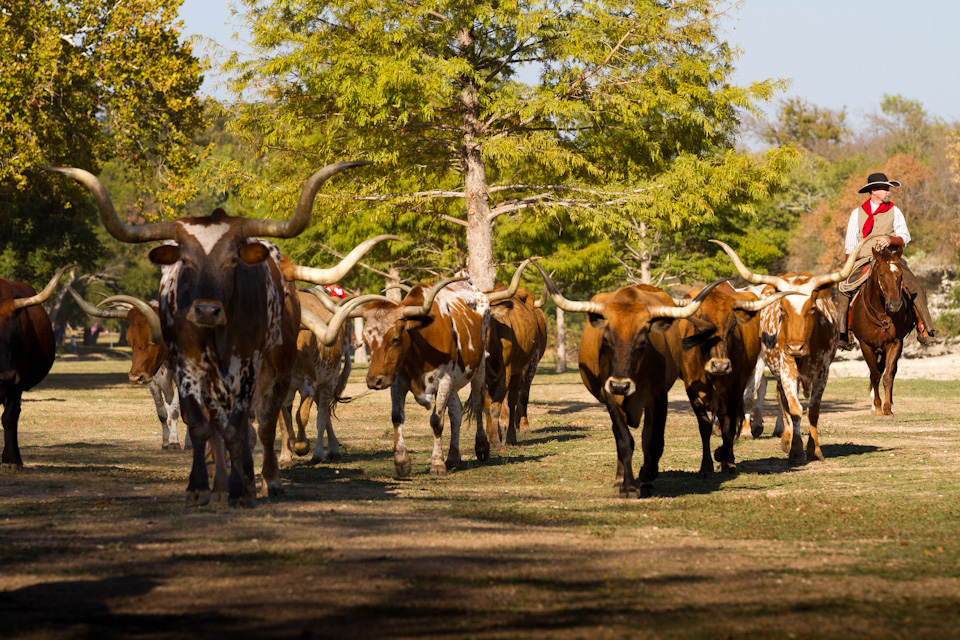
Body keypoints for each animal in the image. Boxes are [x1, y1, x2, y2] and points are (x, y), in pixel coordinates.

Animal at [67, 288, 188, 450]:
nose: (134, 377)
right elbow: (162, 413)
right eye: (129, 340)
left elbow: (175, 412)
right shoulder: (152, 383)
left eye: (153, 340)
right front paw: (166, 441)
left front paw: (174, 442)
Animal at [530, 261, 725, 498]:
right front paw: (629, 486)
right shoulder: (611, 397)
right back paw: (619, 479)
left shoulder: (659, 397)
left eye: (642, 341)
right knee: (620, 436)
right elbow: (624, 441)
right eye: (606, 339)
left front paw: (647, 476)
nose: (620, 385)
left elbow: (654, 440)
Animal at [678, 281, 795, 478]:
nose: (720, 365)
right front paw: (706, 466)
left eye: (732, 328)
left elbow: (730, 426)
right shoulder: (692, 391)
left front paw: (724, 456)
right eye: (702, 330)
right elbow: (705, 427)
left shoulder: (736, 388)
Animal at [711, 239, 866, 464]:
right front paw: (796, 449)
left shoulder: (823, 371)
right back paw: (783, 437)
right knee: (776, 397)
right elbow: (794, 409)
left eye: (812, 308)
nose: (794, 347)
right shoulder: (786, 369)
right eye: (782, 308)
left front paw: (814, 450)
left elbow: (813, 410)